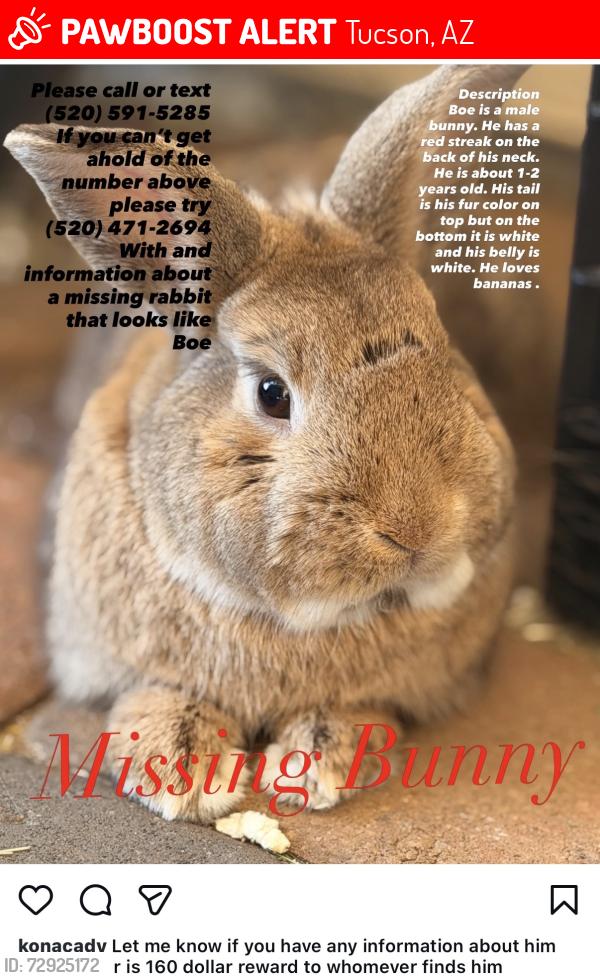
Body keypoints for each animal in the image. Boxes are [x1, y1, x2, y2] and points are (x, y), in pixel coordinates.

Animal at [4, 64, 523, 822]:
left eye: (443, 349)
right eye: (272, 393)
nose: (416, 530)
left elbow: (361, 708)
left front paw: (318, 763)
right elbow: (157, 693)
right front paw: (182, 773)